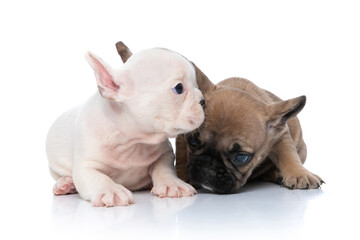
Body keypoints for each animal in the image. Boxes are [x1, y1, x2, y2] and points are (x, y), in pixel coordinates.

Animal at [46, 41, 204, 206]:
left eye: (197, 86)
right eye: (179, 88)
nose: (203, 100)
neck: (133, 141)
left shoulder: (165, 154)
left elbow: (163, 168)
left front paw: (172, 184)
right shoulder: (86, 165)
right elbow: (97, 177)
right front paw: (110, 190)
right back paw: (65, 183)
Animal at [174, 66, 324, 194]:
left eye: (241, 157)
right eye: (192, 141)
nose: (207, 167)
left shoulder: (280, 135)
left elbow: (288, 154)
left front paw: (300, 174)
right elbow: (181, 157)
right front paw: (182, 179)